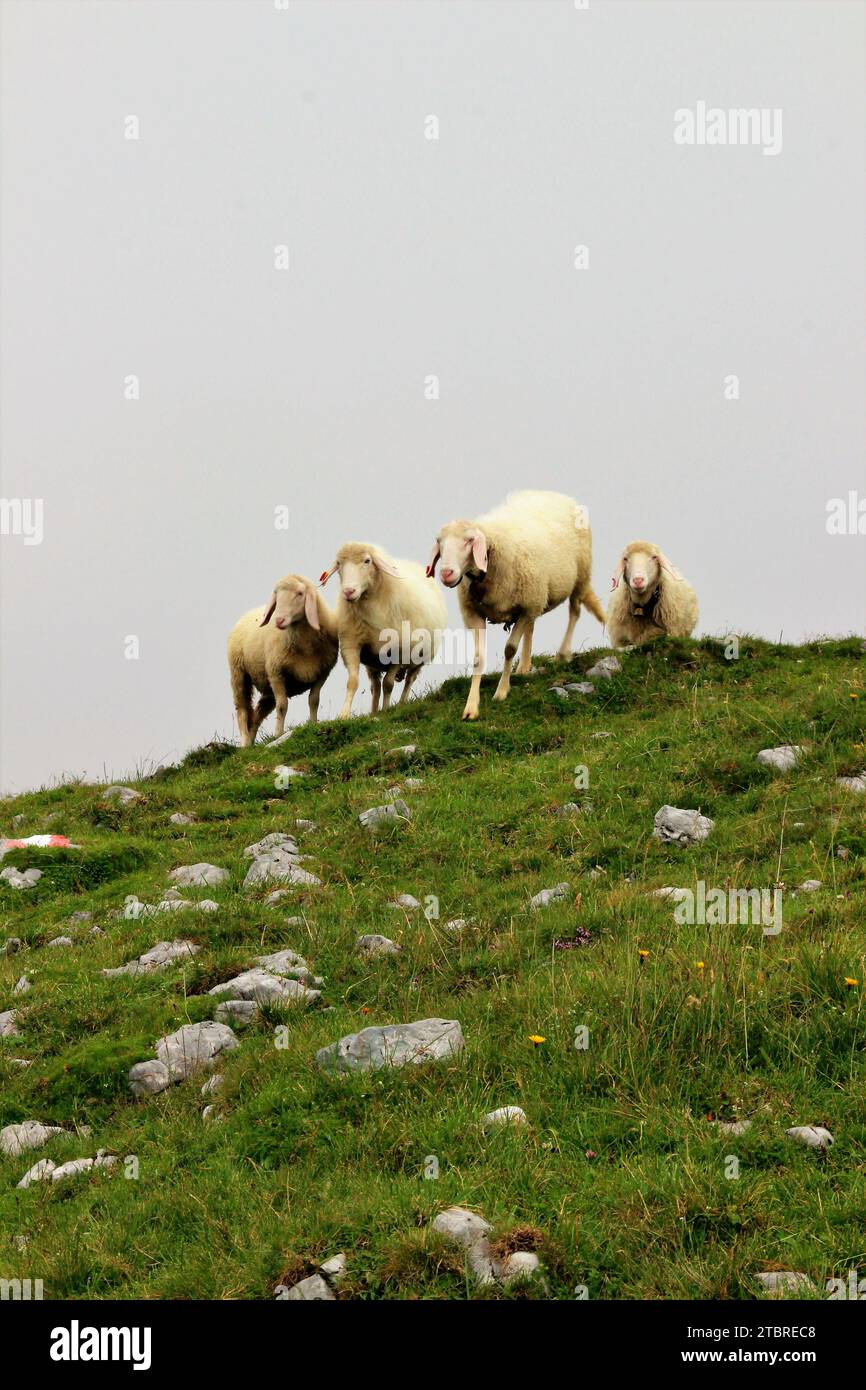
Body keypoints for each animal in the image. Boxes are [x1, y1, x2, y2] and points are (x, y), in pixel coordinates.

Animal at [226, 572, 339, 750]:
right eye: (276, 594)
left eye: (300, 593)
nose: (278, 620)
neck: (304, 646)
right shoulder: (276, 673)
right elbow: (282, 705)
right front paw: (278, 734)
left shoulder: (323, 672)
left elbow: (314, 700)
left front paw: (313, 724)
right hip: (239, 673)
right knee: (242, 709)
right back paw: (244, 743)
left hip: (266, 686)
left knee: (257, 715)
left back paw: (251, 742)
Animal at [322, 539, 450, 722]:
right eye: (339, 564)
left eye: (367, 561)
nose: (348, 591)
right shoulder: (351, 645)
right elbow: (353, 682)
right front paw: (344, 714)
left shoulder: (399, 652)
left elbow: (388, 684)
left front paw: (387, 709)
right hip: (373, 662)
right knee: (375, 686)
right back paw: (374, 711)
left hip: (420, 658)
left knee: (409, 679)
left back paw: (401, 703)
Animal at [425, 489, 603, 722]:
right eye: (440, 542)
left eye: (470, 540)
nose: (446, 574)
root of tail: (552, 493)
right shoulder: (475, 613)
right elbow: (478, 658)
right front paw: (471, 707)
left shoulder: (526, 607)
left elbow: (509, 649)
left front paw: (501, 692)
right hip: (537, 598)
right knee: (532, 626)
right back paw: (525, 666)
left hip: (578, 577)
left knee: (574, 612)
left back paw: (563, 653)